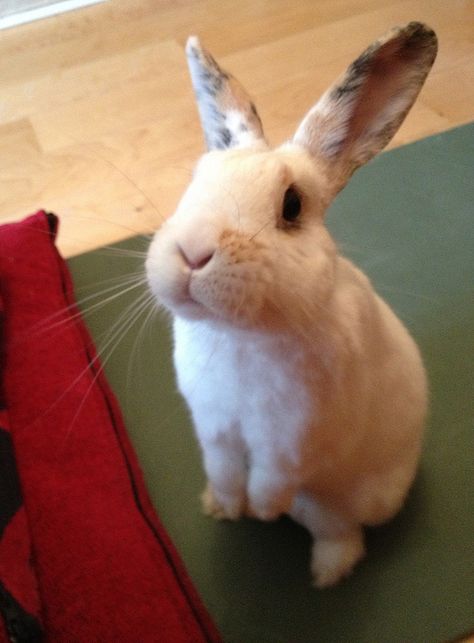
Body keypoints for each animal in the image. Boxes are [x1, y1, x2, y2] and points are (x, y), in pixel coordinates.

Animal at [147, 23, 436, 588]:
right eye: (193, 182)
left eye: (293, 205)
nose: (193, 251)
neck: (235, 332)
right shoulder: (213, 425)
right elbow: (221, 468)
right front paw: (227, 505)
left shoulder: (292, 437)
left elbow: (271, 475)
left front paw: (259, 509)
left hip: (326, 500)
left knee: (341, 532)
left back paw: (327, 574)